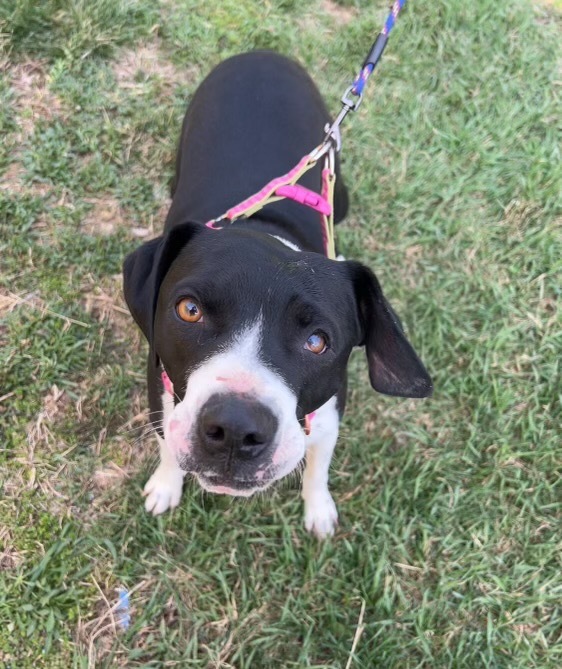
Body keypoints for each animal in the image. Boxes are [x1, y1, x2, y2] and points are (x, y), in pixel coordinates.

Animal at [121, 51, 428, 536]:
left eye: (317, 341)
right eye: (189, 310)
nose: (234, 427)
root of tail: (263, 52)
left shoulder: (327, 418)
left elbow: (318, 468)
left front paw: (318, 510)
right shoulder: (163, 400)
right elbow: (168, 447)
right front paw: (166, 486)